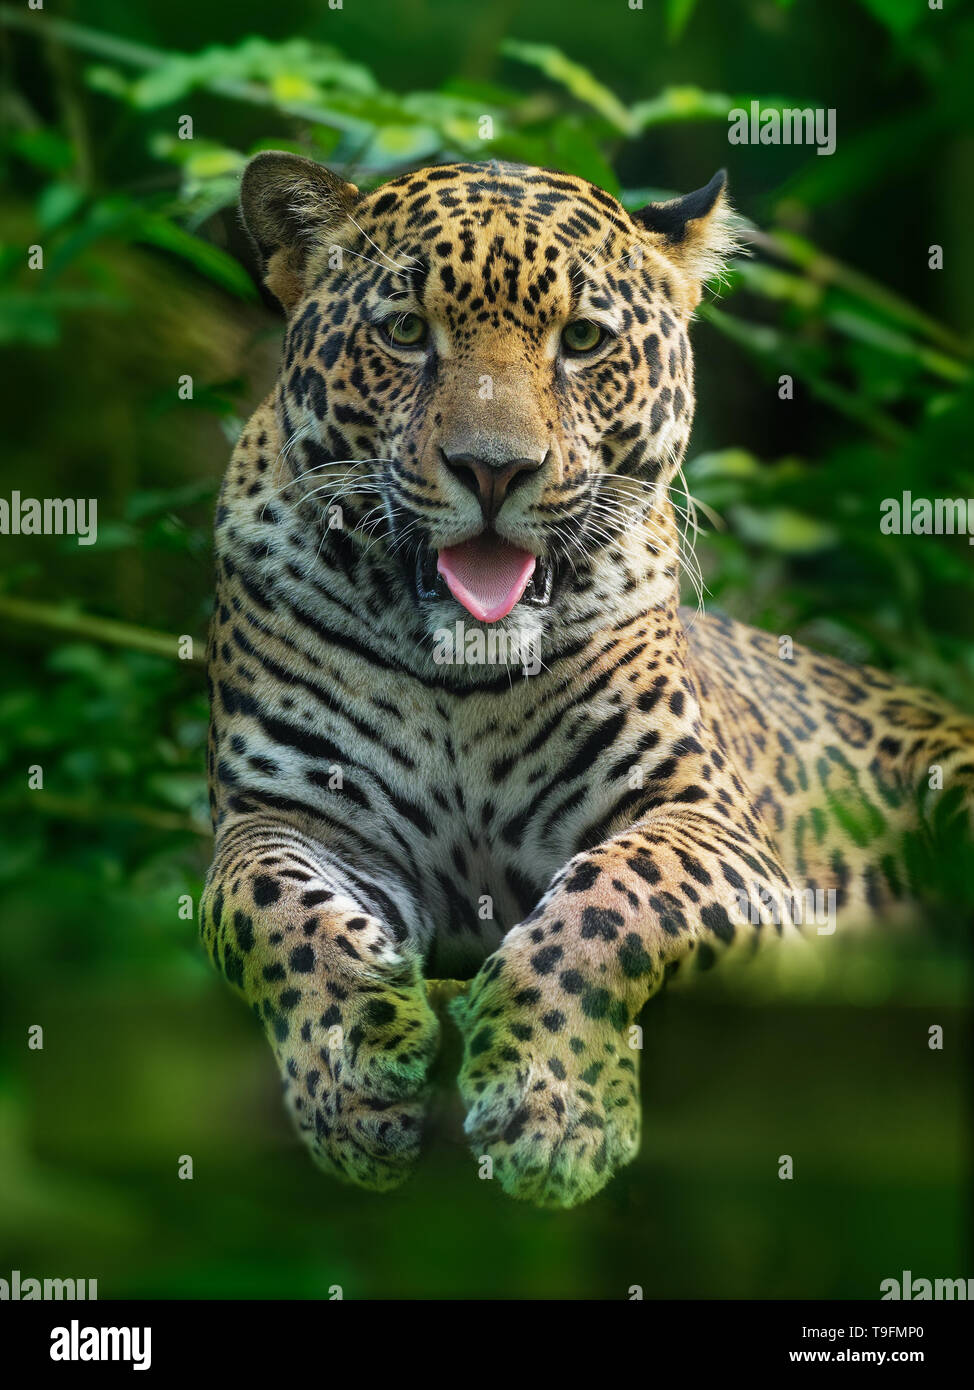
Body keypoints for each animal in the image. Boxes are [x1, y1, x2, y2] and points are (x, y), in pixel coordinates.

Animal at [199, 153, 974, 1209]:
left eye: (582, 341)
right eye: (406, 333)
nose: (493, 470)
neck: (461, 676)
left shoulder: (699, 816)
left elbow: (610, 899)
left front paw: (551, 1103)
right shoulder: (288, 817)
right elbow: (278, 911)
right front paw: (356, 1071)